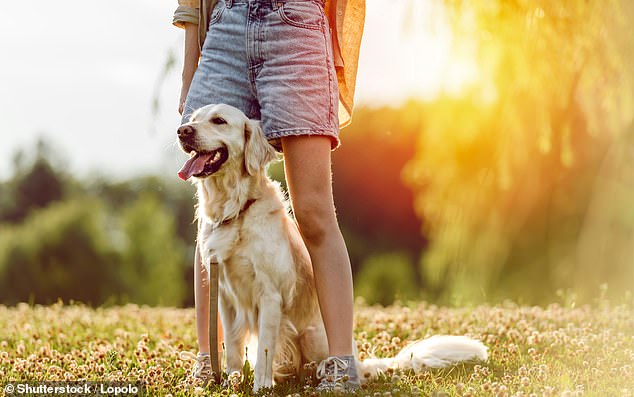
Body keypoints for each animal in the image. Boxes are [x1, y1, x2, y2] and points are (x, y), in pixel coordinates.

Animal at [175, 103, 486, 392]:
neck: (236, 210)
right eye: (193, 119)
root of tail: (360, 362)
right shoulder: (226, 298)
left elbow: (264, 351)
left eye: (219, 120)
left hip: (312, 335)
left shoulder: (269, 295)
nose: (182, 131)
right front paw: (231, 384)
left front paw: (261, 388)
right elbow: (232, 352)